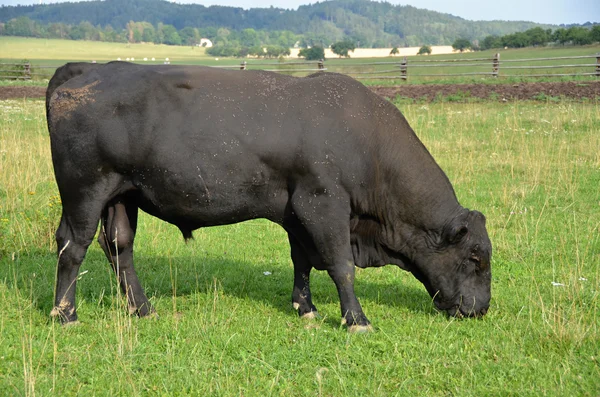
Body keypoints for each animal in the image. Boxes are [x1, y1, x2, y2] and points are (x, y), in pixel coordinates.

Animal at [44, 62, 490, 330]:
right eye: (475, 259)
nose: (482, 307)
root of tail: (89, 70)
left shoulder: (297, 211)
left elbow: (303, 261)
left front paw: (306, 308)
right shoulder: (323, 203)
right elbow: (340, 265)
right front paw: (356, 319)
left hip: (123, 195)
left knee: (119, 247)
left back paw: (143, 309)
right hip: (84, 191)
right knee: (72, 246)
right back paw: (66, 315)